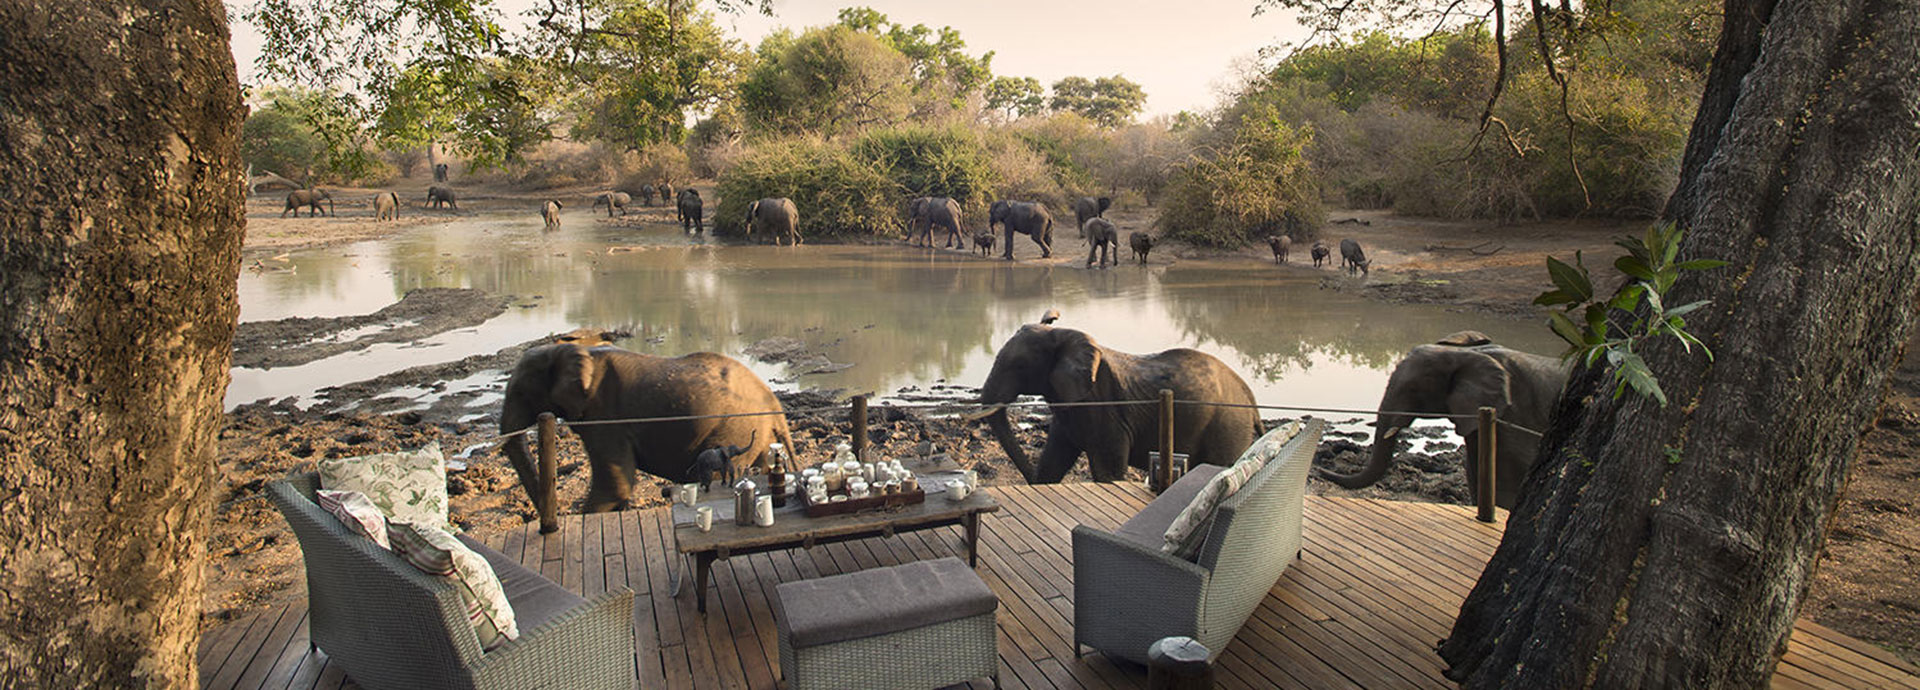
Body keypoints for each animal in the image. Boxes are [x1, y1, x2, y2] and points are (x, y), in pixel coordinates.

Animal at [499, 343, 797, 513]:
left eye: (521, 393)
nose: (552, 517)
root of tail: (773, 403)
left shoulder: (605, 417)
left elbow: (614, 487)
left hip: (736, 426)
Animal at [975, 324, 1263, 484]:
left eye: (1020, 366)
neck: (1062, 333)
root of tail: (1248, 394)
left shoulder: (1104, 408)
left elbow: (1107, 474)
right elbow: (1052, 464)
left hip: (1227, 424)